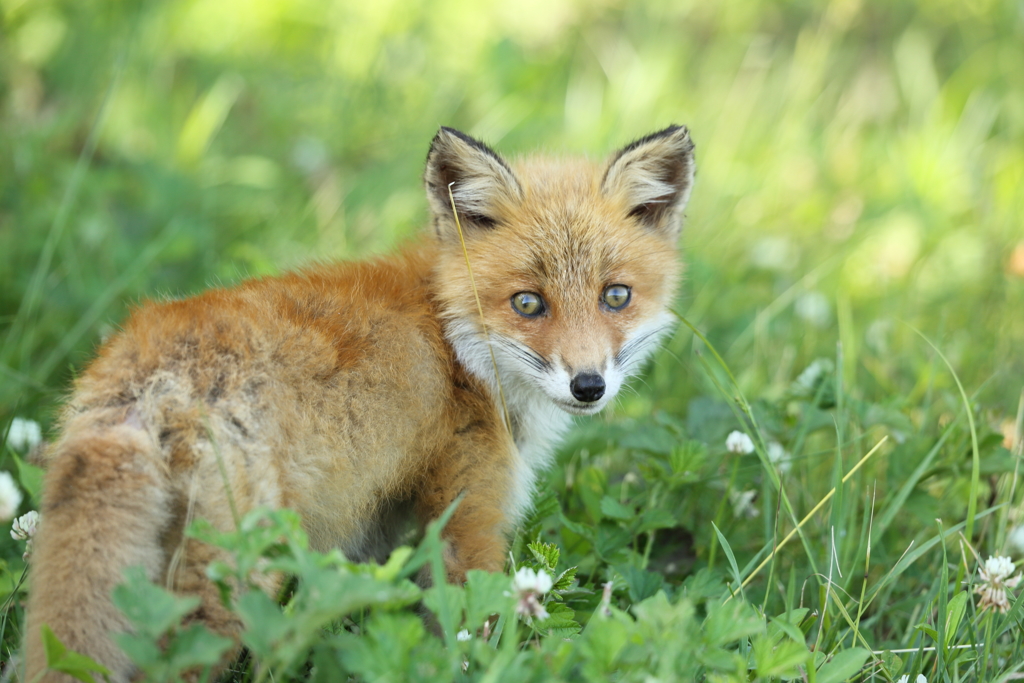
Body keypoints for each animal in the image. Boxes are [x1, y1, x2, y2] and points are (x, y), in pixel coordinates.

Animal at [22, 125, 696, 679]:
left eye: (615, 296)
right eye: (528, 303)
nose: (589, 385)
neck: (454, 341)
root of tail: (148, 372)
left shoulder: (375, 539)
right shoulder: (467, 515)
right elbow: (468, 626)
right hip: (232, 582)